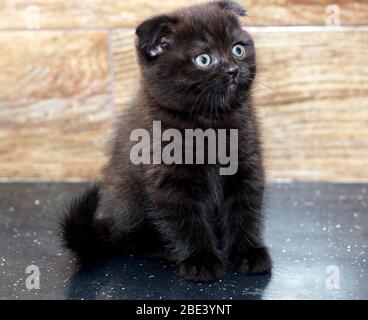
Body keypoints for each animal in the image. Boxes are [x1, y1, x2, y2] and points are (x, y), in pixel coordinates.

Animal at [60, 0, 272, 282]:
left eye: (238, 49)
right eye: (203, 59)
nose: (233, 70)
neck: (210, 122)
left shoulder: (245, 164)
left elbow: (245, 209)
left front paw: (248, 253)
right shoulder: (169, 177)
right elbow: (187, 220)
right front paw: (201, 260)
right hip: (129, 201)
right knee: (130, 239)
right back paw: (164, 248)